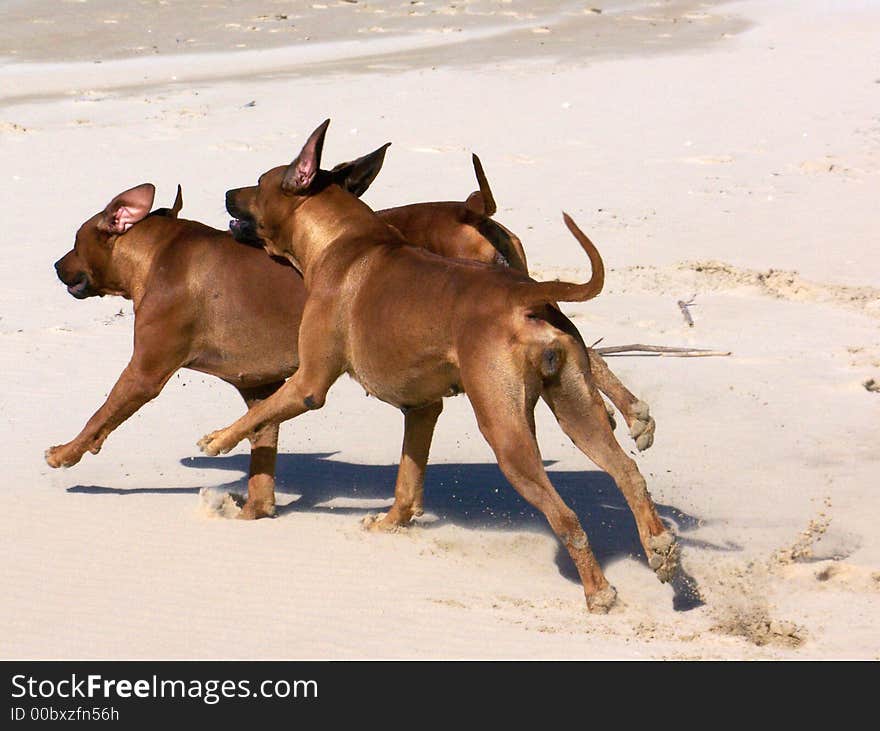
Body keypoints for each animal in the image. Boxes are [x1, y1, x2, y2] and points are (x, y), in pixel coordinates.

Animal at [48, 147, 652, 528]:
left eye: (75, 240)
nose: (56, 265)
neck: (159, 251)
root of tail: (469, 209)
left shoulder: (147, 369)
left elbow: (104, 412)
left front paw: (67, 452)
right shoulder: (261, 387)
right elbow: (261, 440)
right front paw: (254, 509)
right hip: (525, 290)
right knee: (587, 352)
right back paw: (630, 412)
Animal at [203, 121, 676, 612]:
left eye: (259, 182)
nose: (227, 192)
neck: (345, 240)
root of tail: (522, 295)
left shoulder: (308, 384)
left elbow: (261, 411)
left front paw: (220, 438)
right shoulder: (422, 408)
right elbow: (407, 481)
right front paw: (390, 522)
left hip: (506, 433)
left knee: (566, 516)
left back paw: (598, 591)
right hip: (574, 409)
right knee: (627, 472)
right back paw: (659, 546)